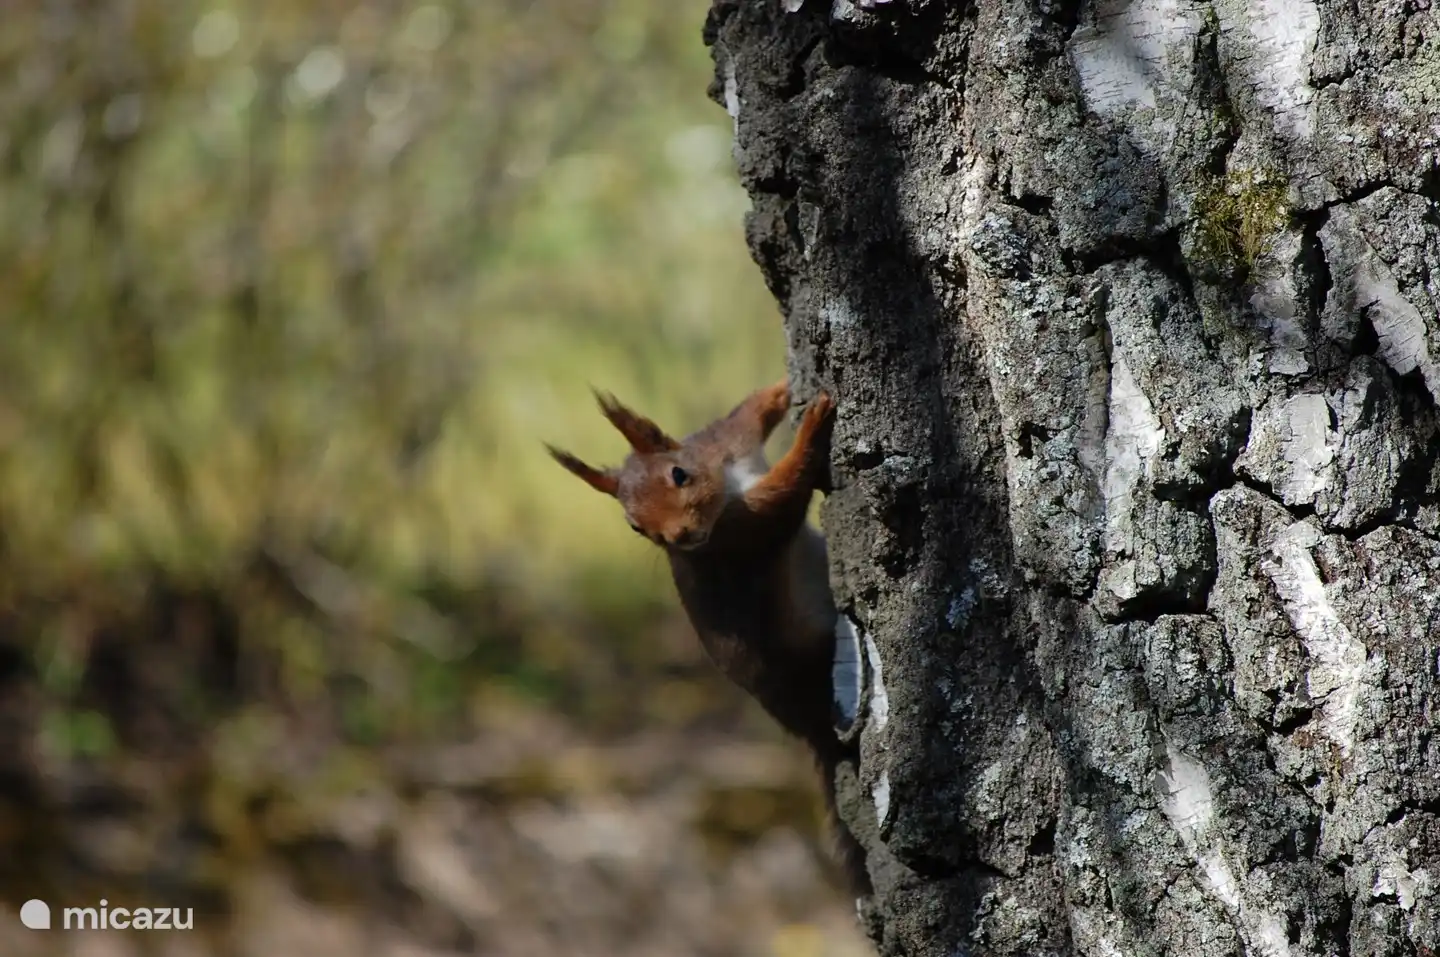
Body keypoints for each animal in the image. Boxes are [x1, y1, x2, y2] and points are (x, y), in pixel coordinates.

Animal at [546, 380, 870, 895]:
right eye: (635, 526)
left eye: (679, 473)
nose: (680, 537)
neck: (729, 485)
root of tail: (808, 728)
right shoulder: (736, 539)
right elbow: (782, 499)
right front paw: (813, 428)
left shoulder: (725, 441)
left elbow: (750, 412)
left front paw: (785, 393)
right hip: (812, 660)